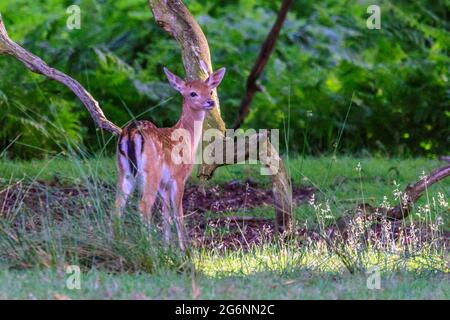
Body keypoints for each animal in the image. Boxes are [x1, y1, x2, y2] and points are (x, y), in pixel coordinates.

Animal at [114, 67, 227, 250]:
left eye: (210, 91)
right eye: (193, 93)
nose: (210, 102)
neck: (187, 137)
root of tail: (131, 133)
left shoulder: (164, 183)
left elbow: (165, 213)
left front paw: (167, 247)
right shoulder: (179, 176)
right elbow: (177, 213)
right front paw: (184, 250)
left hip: (124, 170)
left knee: (117, 206)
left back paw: (116, 242)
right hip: (150, 172)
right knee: (143, 206)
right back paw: (149, 249)